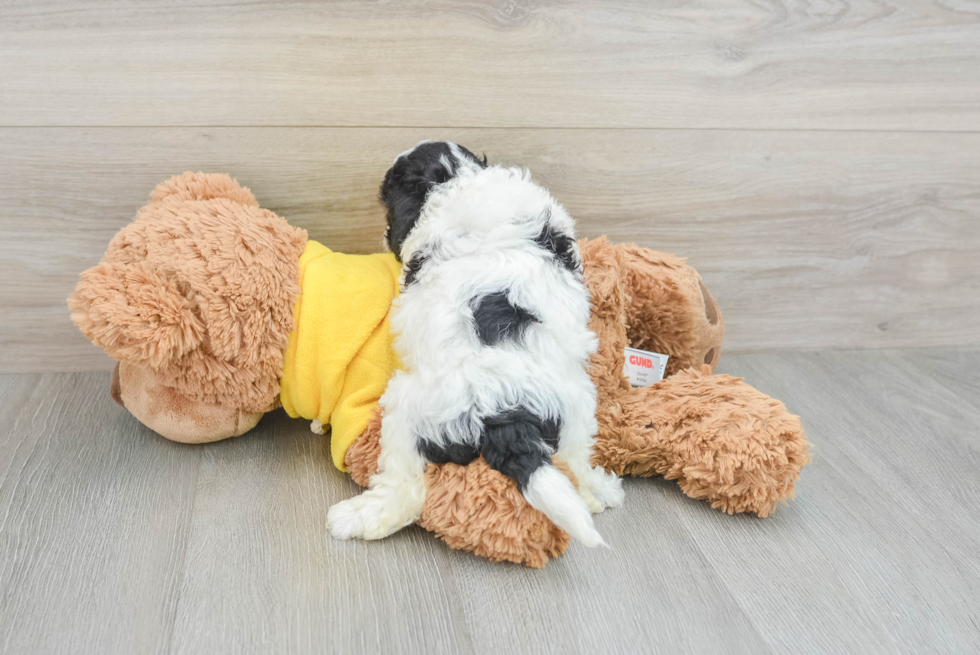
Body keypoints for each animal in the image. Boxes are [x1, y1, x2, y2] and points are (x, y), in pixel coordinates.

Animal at [326, 141, 624, 544]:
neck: (458, 177)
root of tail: (508, 414)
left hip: (410, 411)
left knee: (406, 489)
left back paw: (355, 517)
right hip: (576, 408)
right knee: (574, 463)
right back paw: (600, 490)